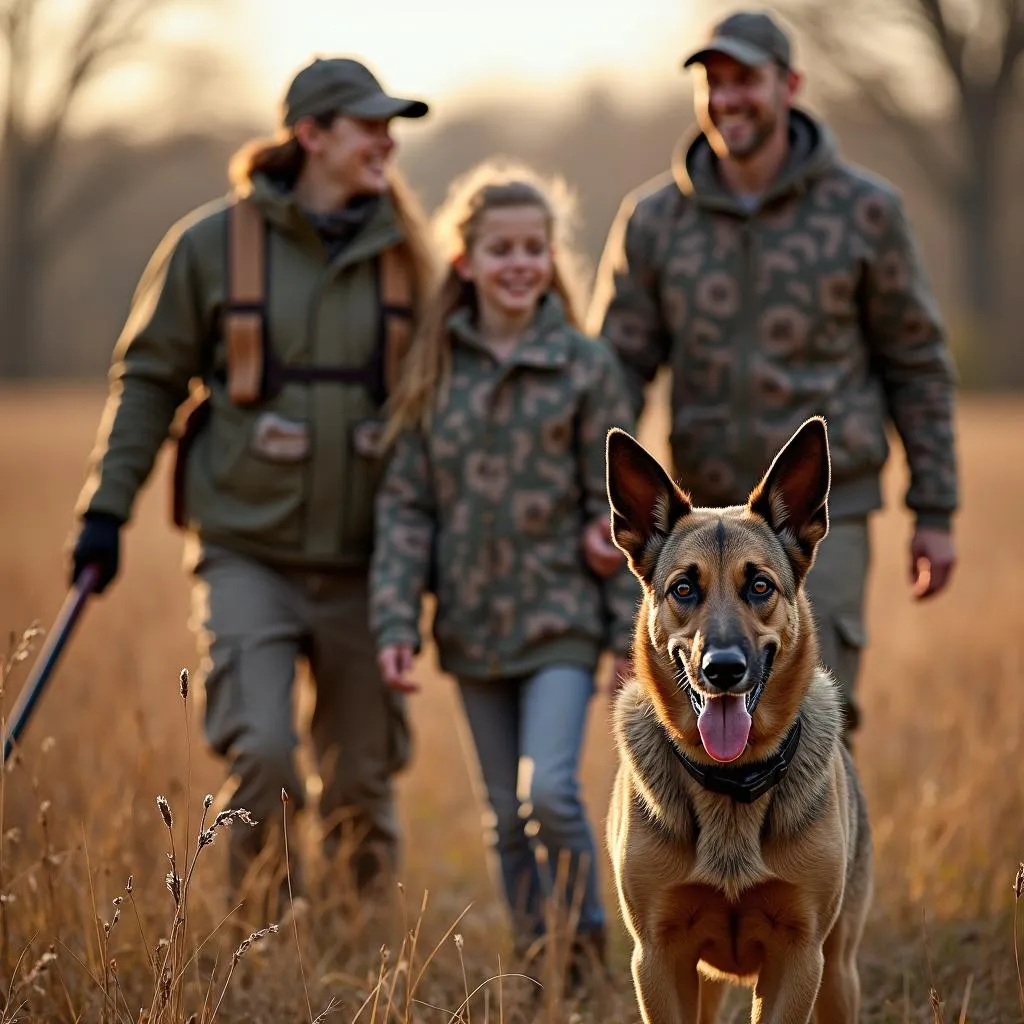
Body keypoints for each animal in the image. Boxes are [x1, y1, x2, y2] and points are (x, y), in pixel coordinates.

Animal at [602, 417, 876, 1024]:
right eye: (684, 589)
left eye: (760, 586)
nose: (722, 670)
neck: (730, 783)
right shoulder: (657, 958)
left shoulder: (800, 957)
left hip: (839, 975)